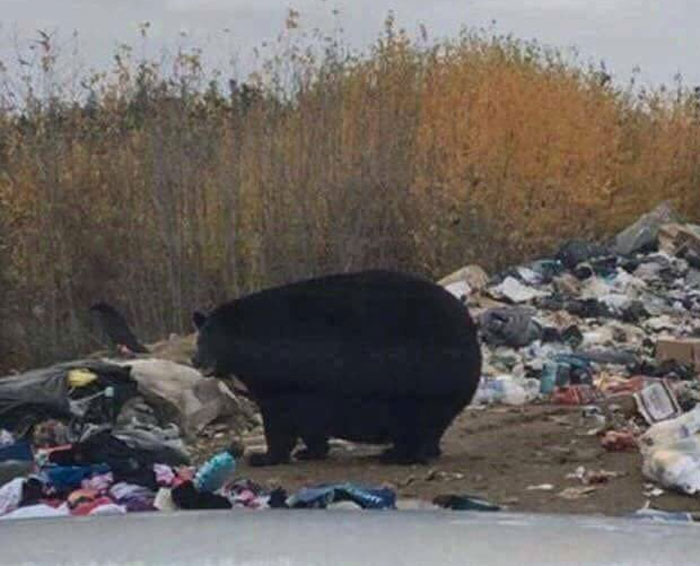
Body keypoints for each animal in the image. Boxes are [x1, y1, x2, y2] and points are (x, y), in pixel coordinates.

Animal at [192, 270, 482, 466]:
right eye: (200, 337)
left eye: (214, 338)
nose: (196, 360)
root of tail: (470, 330)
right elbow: (308, 418)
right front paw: (310, 451)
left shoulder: (284, 374)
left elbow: (279, 416)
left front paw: (265, 457)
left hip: (422, 372)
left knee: (417, 419)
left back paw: (400, 455)